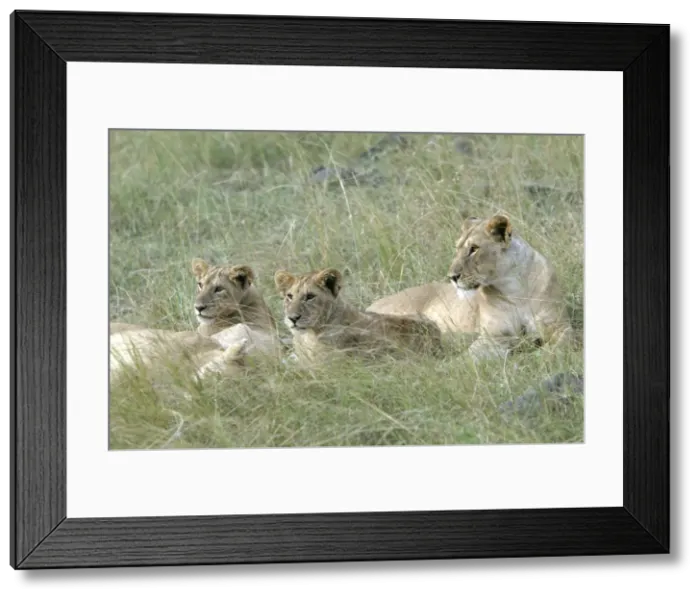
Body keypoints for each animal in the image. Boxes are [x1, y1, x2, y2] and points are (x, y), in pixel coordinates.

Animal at [366, 213, 573, 361]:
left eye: (474, 249)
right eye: (457, 248)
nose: (452, 277)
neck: (513, 287)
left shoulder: (558, 325)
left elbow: (564, 343)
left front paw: (546, 356)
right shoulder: (492, 335)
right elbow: (469, 357)